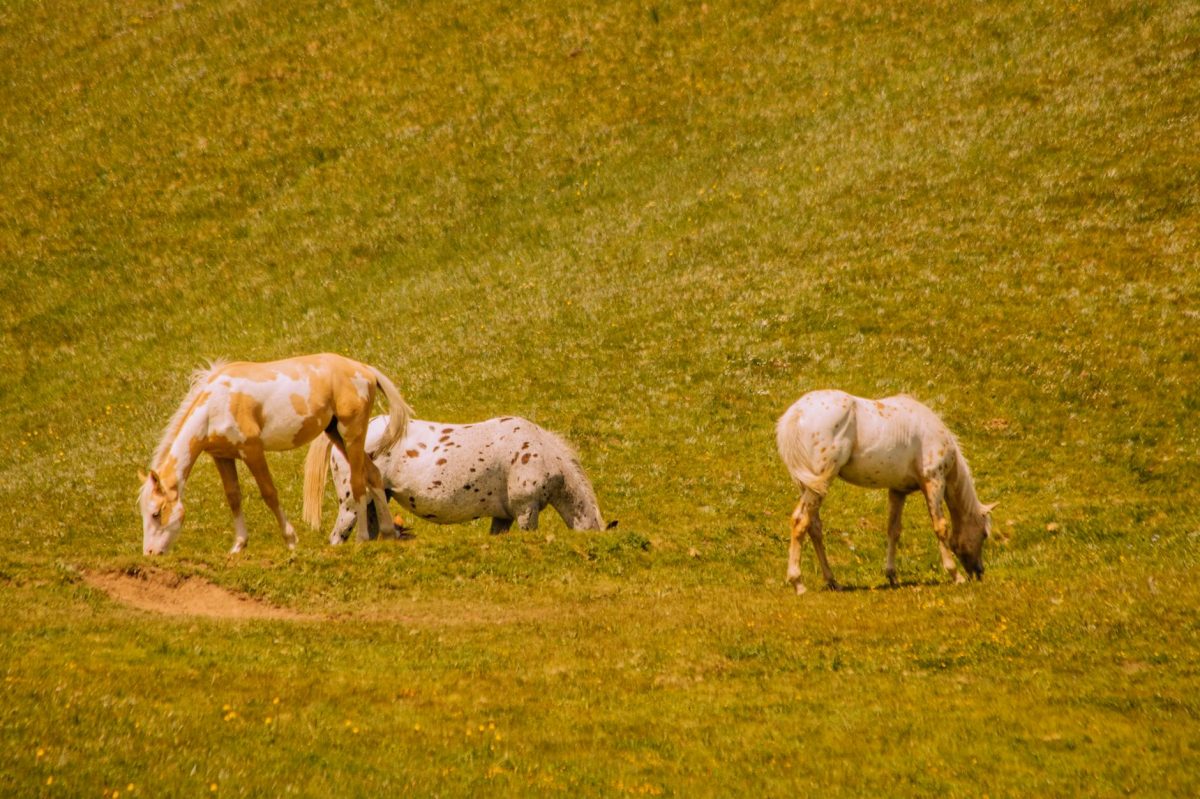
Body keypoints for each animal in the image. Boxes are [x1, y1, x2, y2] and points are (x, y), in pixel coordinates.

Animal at [138, 353, 412, 555]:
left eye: (156, 513)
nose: (150, 554)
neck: (216, 403)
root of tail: (364, 369)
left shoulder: (252, 452)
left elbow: (269, 493)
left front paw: (290, 540)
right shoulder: (222, 457)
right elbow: (233, 497)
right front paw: (238, 545)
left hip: (351, 435)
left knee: (358, 483)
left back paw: (362, 539)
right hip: (335, 433)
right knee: (373, 475)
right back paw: (388, 532)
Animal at [775, 390, 996, 594]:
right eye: (984, 534)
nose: (979, 572)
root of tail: (797, 413)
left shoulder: (898, 491)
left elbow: (893, 530)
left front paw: (892, 575)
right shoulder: (934, 481)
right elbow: (940, 527)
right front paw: (955, 574)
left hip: (809, 487)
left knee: (813, 527)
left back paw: (832, 581)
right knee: (800, 522)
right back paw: (798, 583)